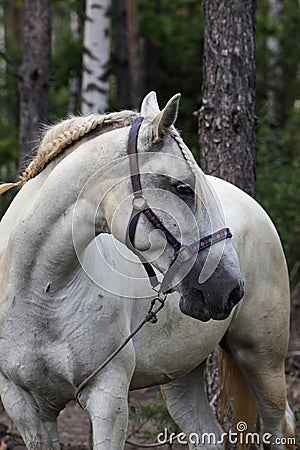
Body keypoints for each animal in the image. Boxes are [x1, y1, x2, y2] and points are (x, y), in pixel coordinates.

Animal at [0, 92, 296, 450]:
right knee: (209, 436)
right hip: (183, 374)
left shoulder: (108, 397)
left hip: (263, 361)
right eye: (183, 188)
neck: (40, 293)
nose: (231, 289)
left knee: (280, 428)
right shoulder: (25, 409)